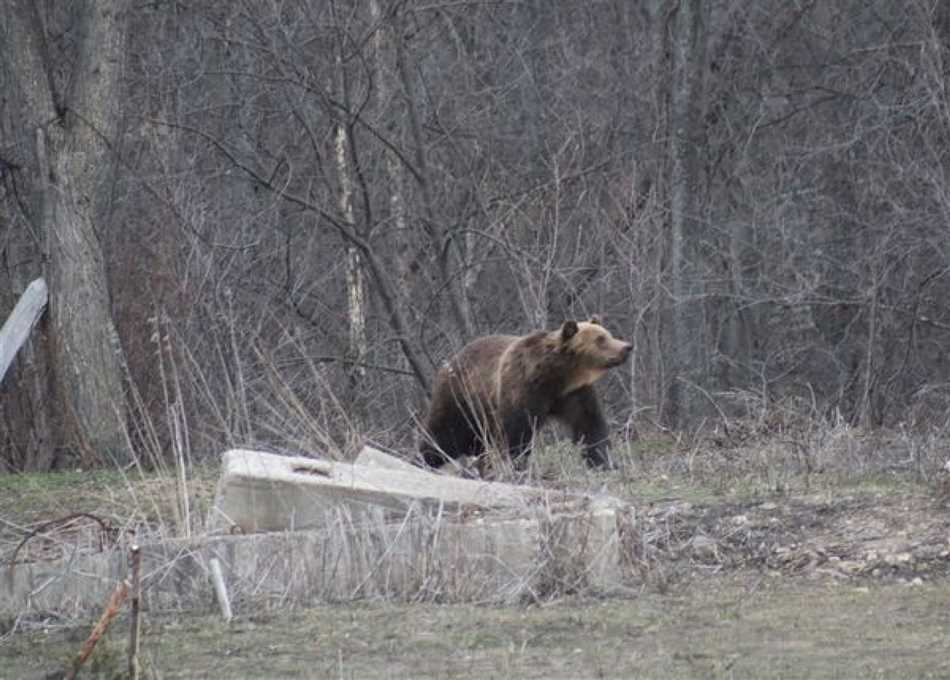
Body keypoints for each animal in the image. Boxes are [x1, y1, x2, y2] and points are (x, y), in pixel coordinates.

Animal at [422, 318, 632, 468]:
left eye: (608, 334)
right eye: (600, 340)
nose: (627, 347)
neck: (558, 376)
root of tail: (450, 360)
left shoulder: (574, 393)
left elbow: (589, 424)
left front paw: (604, 461)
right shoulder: (523, 388)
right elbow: (516, 431)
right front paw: (515, 461)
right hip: (461, 396)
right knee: (446, 432)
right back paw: (426, 458)